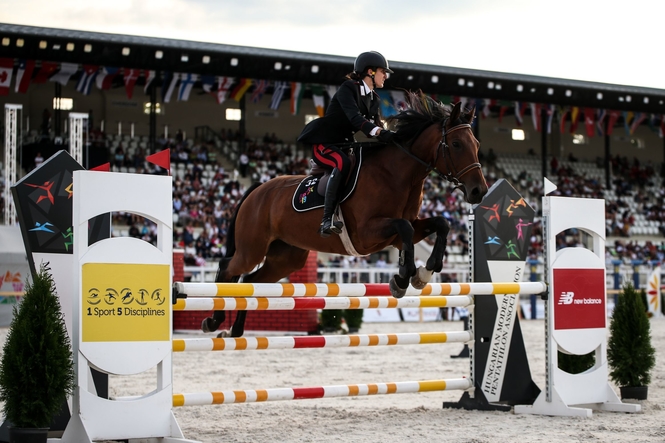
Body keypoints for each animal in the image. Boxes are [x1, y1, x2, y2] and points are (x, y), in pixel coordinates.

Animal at [202, 91, 488, 337]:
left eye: (476, 143)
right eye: (455, 144)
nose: (479, 191)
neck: (398, 175)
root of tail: (257, 189)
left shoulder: (402, 232)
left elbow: (440, 224)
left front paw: (424, 272)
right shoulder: (367, 234)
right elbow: (405, 229)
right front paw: (402, 278)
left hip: (285, 257)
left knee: (251, 280)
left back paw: (236, 329)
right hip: (252, 249)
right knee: (228, 268)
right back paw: (214, 321)